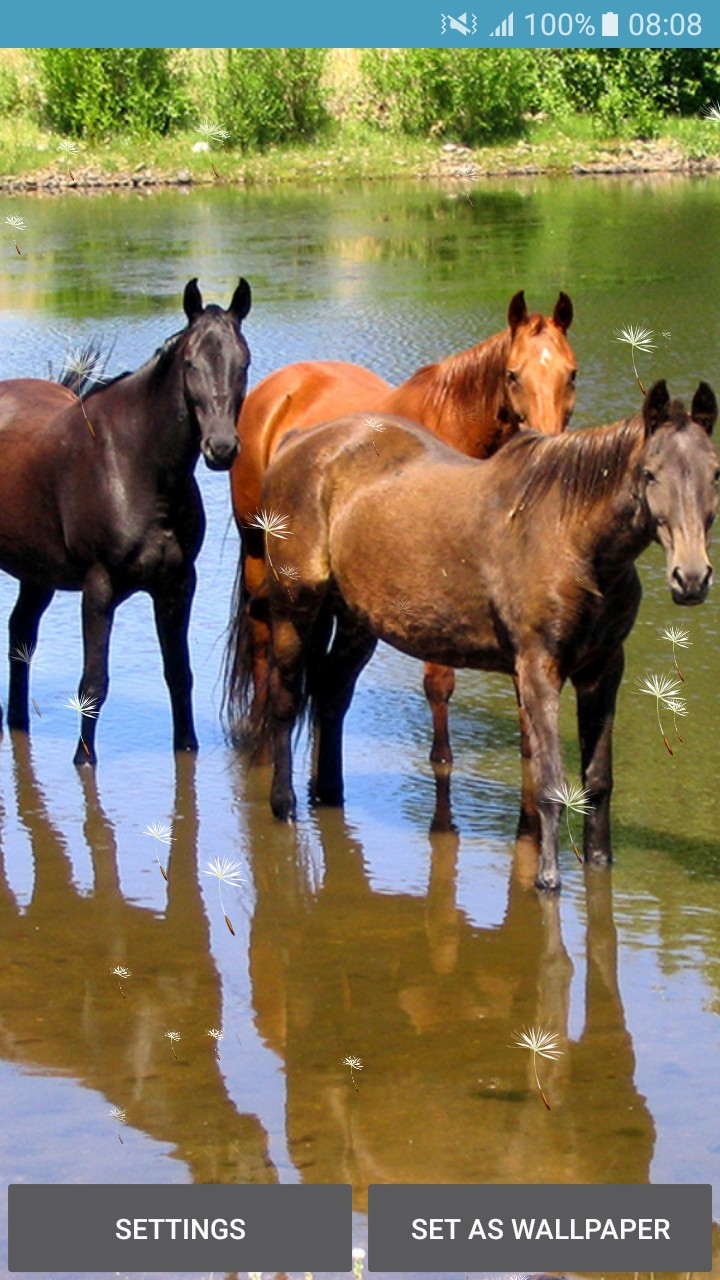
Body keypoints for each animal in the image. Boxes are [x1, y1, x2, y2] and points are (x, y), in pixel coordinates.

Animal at [0, 276, 252, 764]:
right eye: (190, 362)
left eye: (243, 362)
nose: (221, 447)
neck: (136, 464)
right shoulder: (98, 588)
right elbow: (93, 684)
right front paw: (83, 759)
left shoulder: (177, 584)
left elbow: (179, 674)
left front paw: (187, 748)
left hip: (35, 573)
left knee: (21, 638)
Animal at [226, 290, 576, 764]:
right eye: (512, 374)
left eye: (570, 374)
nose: (548, 449)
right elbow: (439, 683)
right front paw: (441, 758)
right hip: (258, 553)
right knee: (262, 637)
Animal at [232, 380, 718, 891]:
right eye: (650, 473)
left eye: (716, 474)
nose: (691, 578)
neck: (570, 535)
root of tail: (297, 442)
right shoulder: (539, 669)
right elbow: (549, 781)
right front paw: (547, 879)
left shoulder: (603, 670)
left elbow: (598, 779)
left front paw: (600, 862)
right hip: (294, 610)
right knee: (285, 702)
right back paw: (283, 805)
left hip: (356, 622)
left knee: (330, 696)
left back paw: (329, 795)